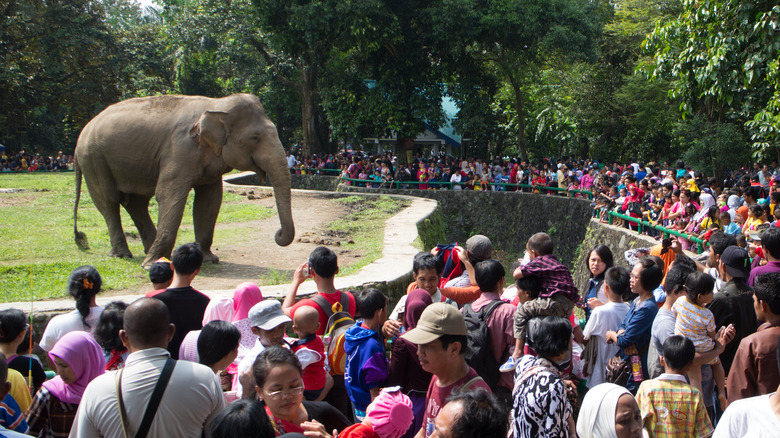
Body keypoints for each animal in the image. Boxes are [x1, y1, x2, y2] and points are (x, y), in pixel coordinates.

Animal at [73, 93, 294, 266]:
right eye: (255, 138)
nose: (278, 234)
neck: (215, 104)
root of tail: (81, 135)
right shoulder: (179, 150)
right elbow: (168, 195)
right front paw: (150, 265)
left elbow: (210, 201)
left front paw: (209, 259)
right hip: (94, 159)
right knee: (109, 201)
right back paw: (124, 255)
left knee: (136, 202)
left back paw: (154, 251)